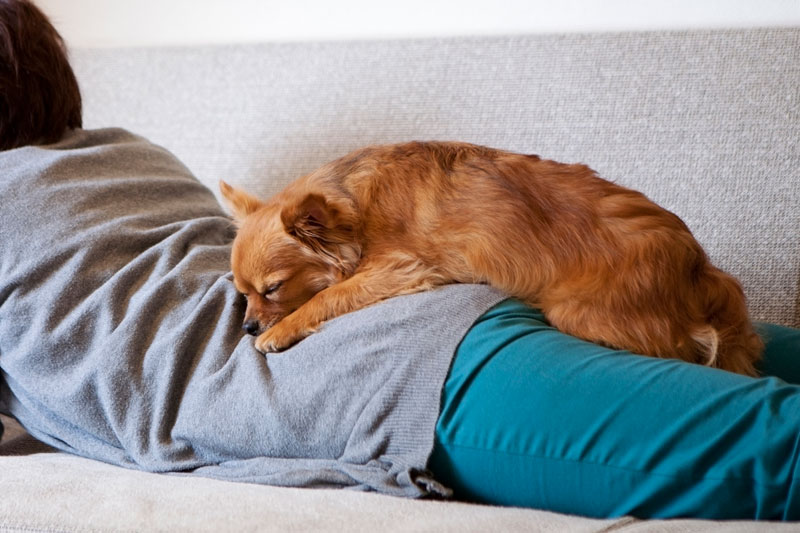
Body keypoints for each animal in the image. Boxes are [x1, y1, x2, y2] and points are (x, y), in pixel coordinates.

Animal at [220, 141, 764, 374]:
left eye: (273, 289)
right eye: (241, 293)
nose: (247, 326)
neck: (354, 205)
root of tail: (701, 269)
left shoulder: (398, 269)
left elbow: (329, 295)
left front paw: (279, 332)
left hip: (580, 312)